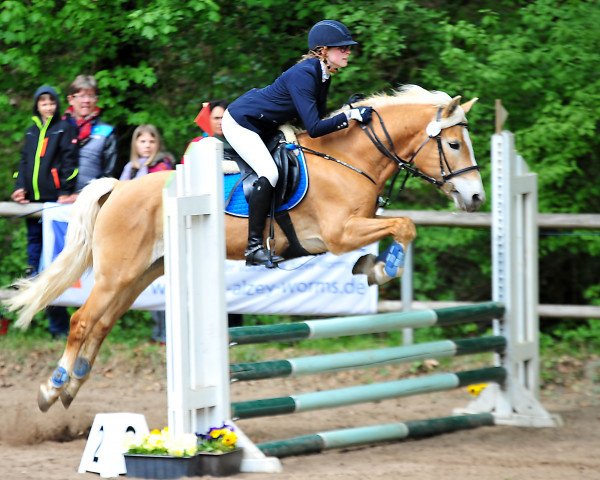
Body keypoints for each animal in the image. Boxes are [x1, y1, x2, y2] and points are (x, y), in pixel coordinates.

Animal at [4, 84, 486, 410]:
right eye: (454, 144)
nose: (476, 197)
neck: (349, 159)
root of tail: (118, 188)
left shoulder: (352, 229)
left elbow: (400, 227)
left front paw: (370, 267)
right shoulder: (339, 233)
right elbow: (405, 226)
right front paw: (379, 268)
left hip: (140, 274)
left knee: (102, 323)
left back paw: (71, 386)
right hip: (116, 272)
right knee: (83, 321)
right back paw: (53, 387)